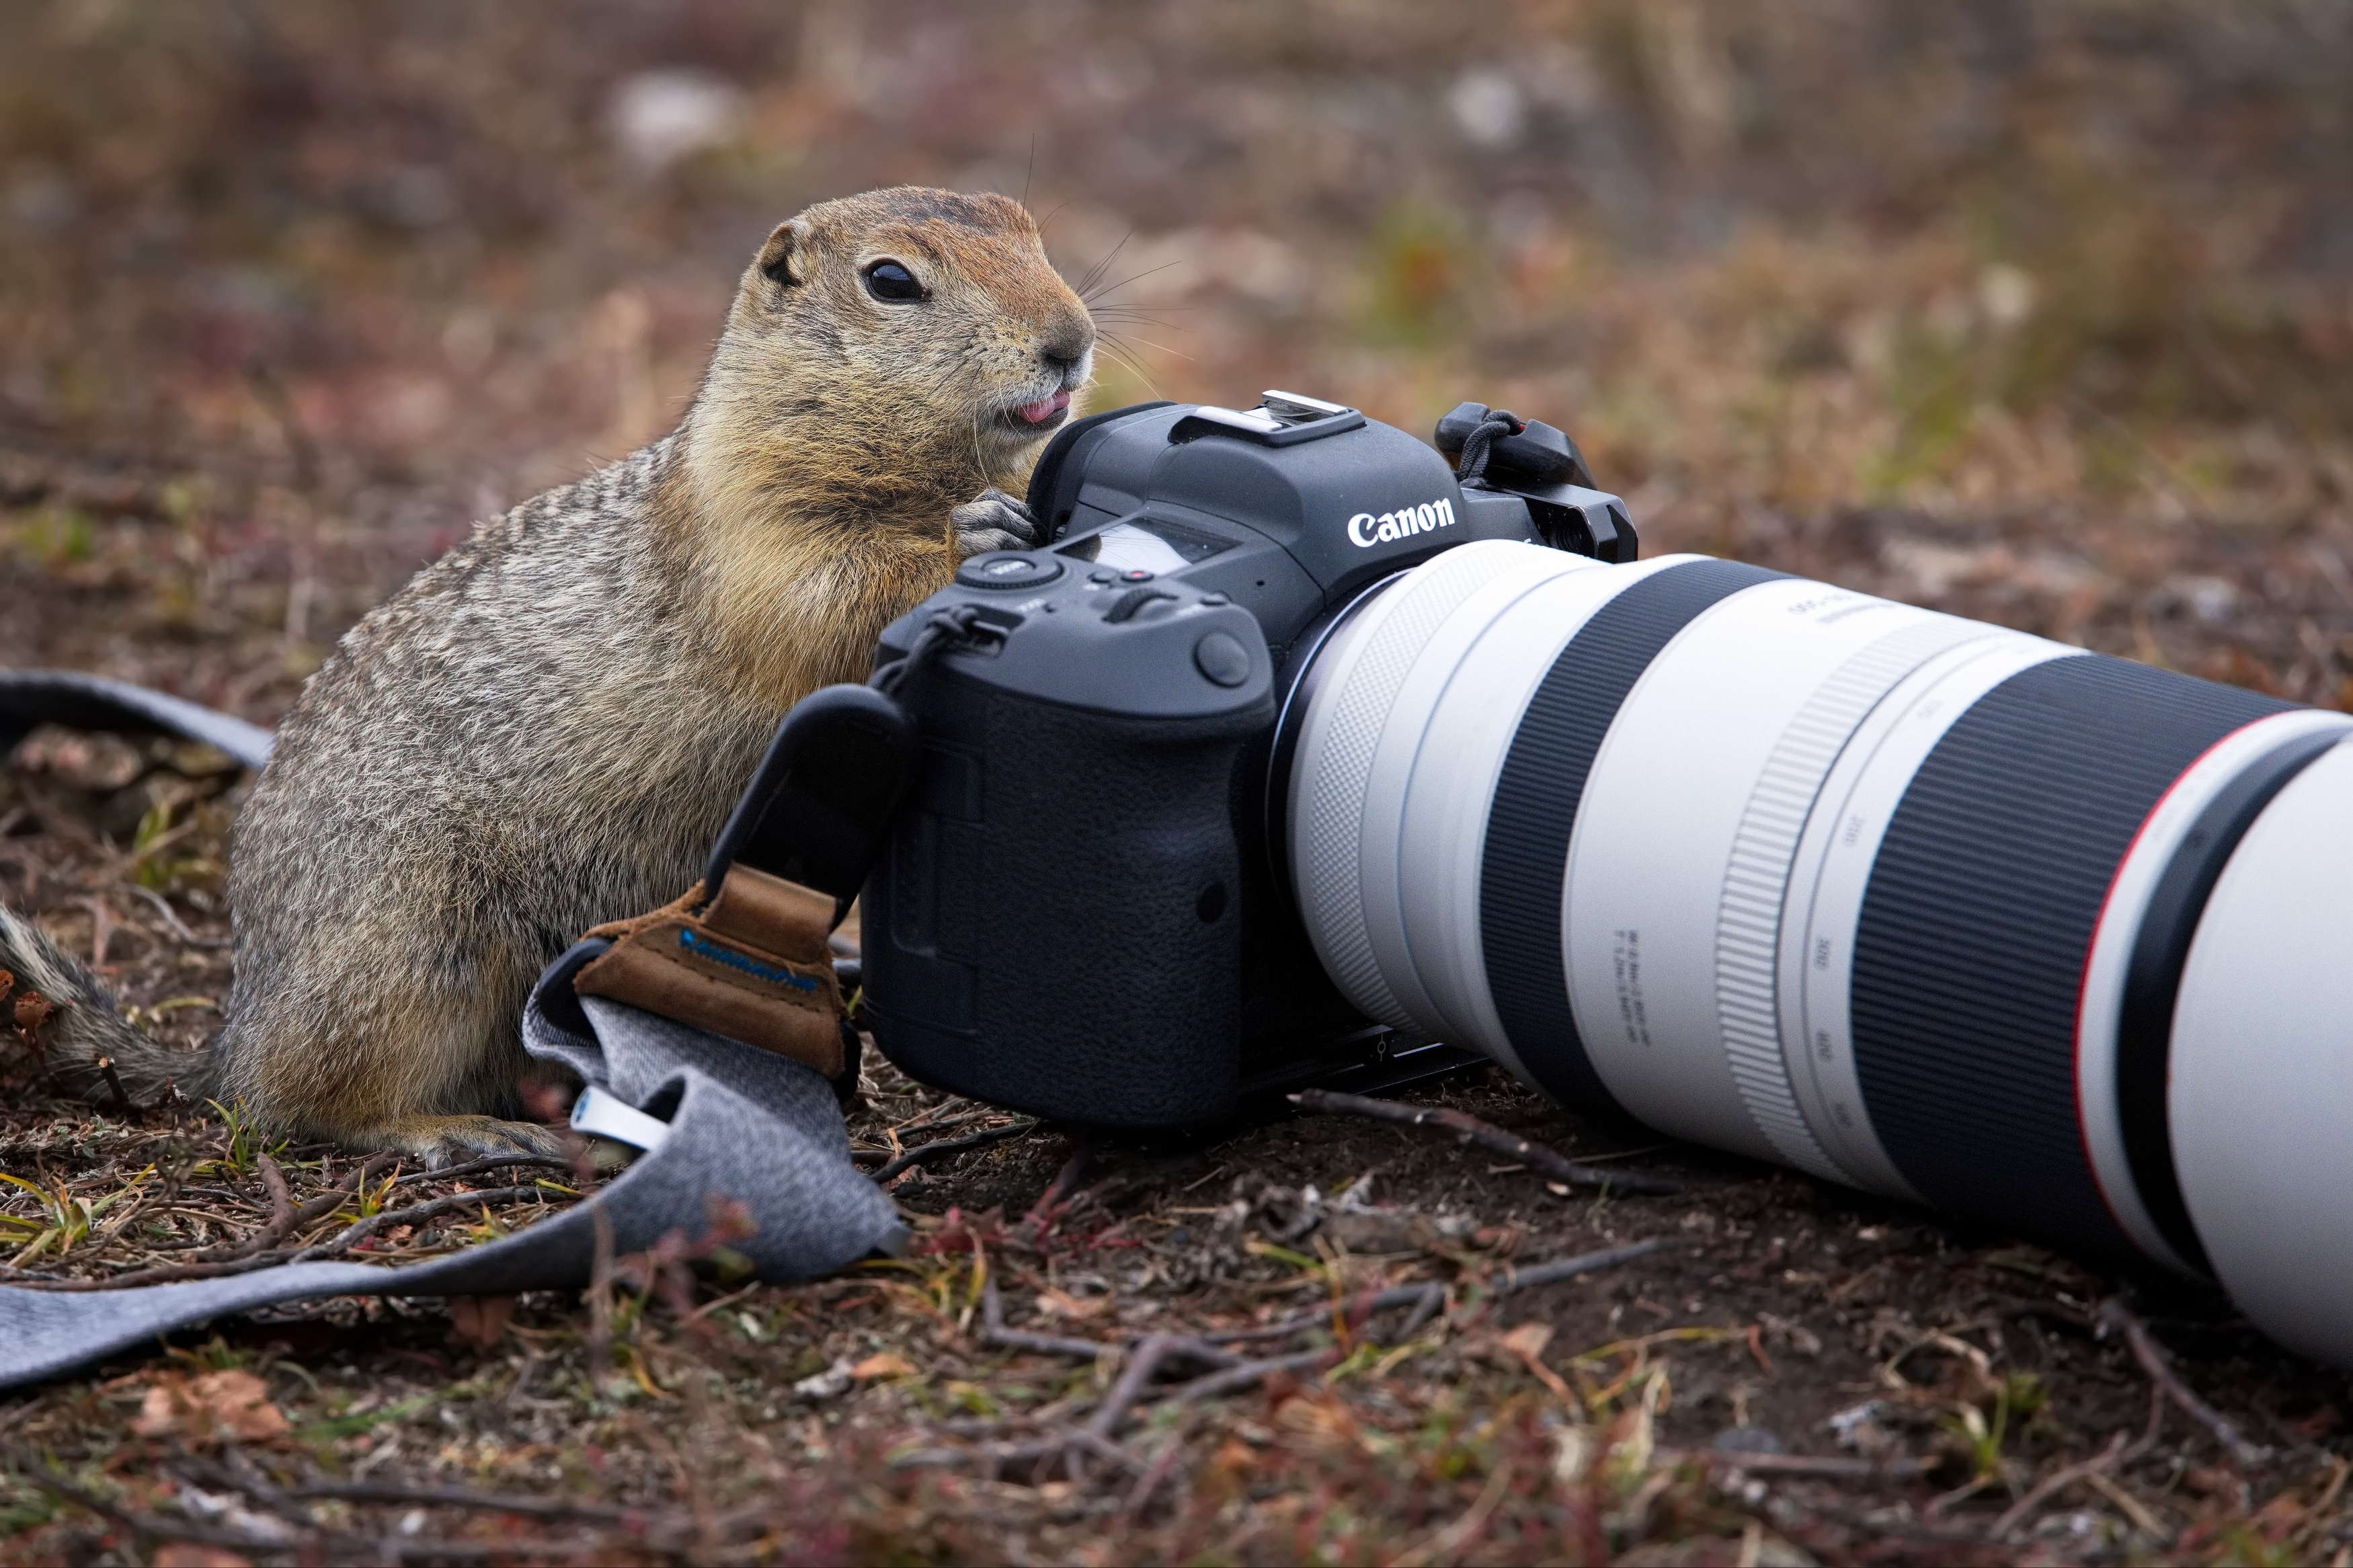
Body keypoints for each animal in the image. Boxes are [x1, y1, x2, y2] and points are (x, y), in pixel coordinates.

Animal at [2, 184, 1092, 1165]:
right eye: (890, 281)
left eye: (1031, 229)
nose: (1072, 340)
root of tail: (232, 1030)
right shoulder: (755, 536)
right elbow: (830, 593)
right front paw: (973, 536)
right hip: (413, 944)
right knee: (300, 1101)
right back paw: (451, 1129)